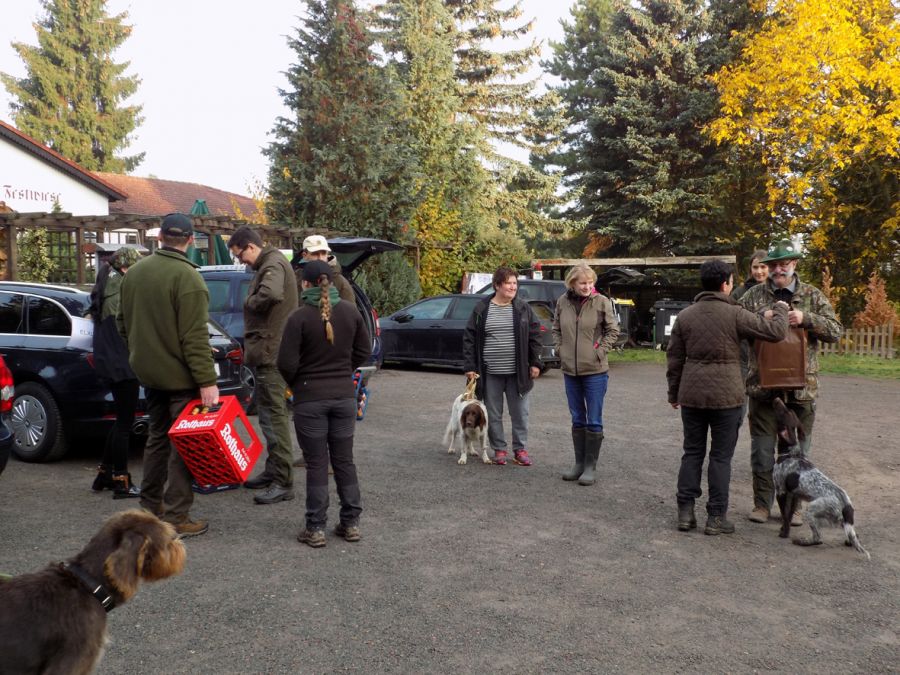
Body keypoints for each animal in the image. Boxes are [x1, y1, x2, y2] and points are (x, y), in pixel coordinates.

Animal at [771, 397, 870, 559]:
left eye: (784, 412)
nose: (778, 398)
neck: (790, 453)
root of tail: (846, 506)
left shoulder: (781, 491)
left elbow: (785, 515)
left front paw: (783, 533)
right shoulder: (794, 495)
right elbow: (789, 515)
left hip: (811, 510)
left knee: (818, 538)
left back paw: (801, 542)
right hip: (842, 523)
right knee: (854, 536)